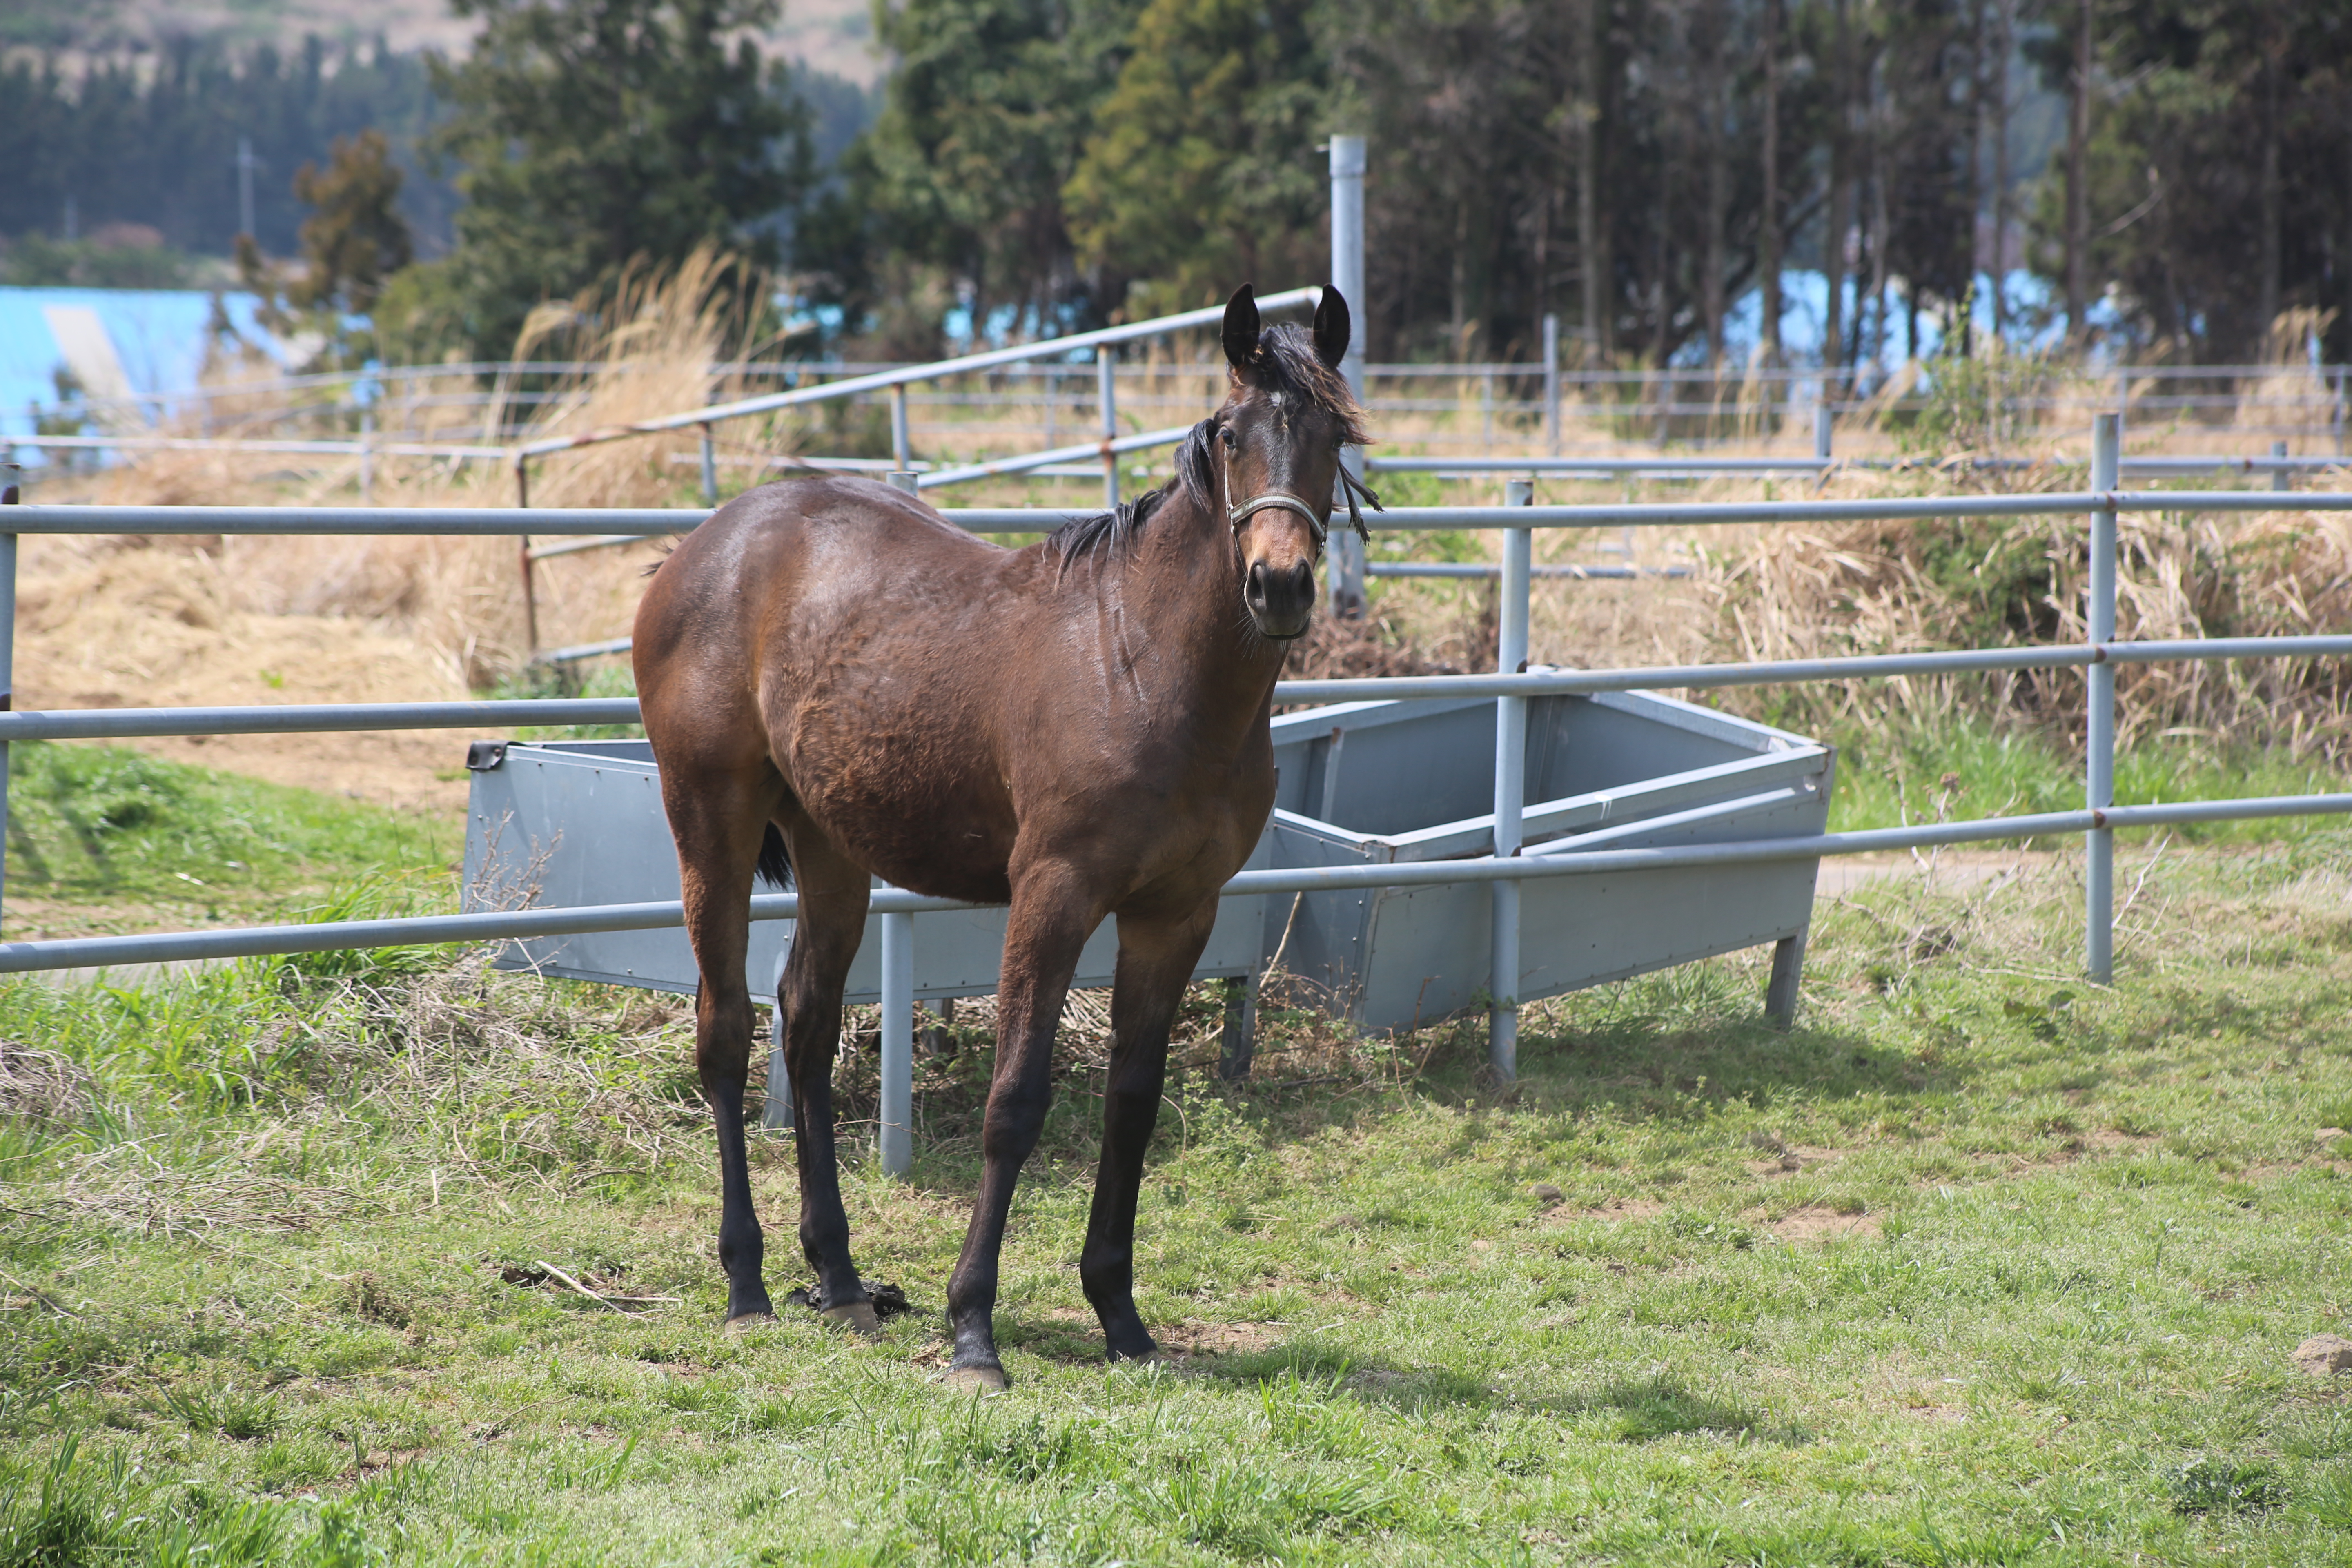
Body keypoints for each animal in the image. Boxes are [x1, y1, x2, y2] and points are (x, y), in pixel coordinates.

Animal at [639, 288, 1373, 1392]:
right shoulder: (1054, 895)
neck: (1143, 664)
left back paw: (841, 1277)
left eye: (1335, 435)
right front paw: (973, 1329)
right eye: (1234, 435)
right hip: (711, 823)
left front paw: (1120, 1315)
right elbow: (1015, 1100)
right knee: (724, 1031)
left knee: (805, 1025)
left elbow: (1132, 1101)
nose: (1279, 585)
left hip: (830, 847)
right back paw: (748, 1284)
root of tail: (699, 548)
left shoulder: (1176, 914)